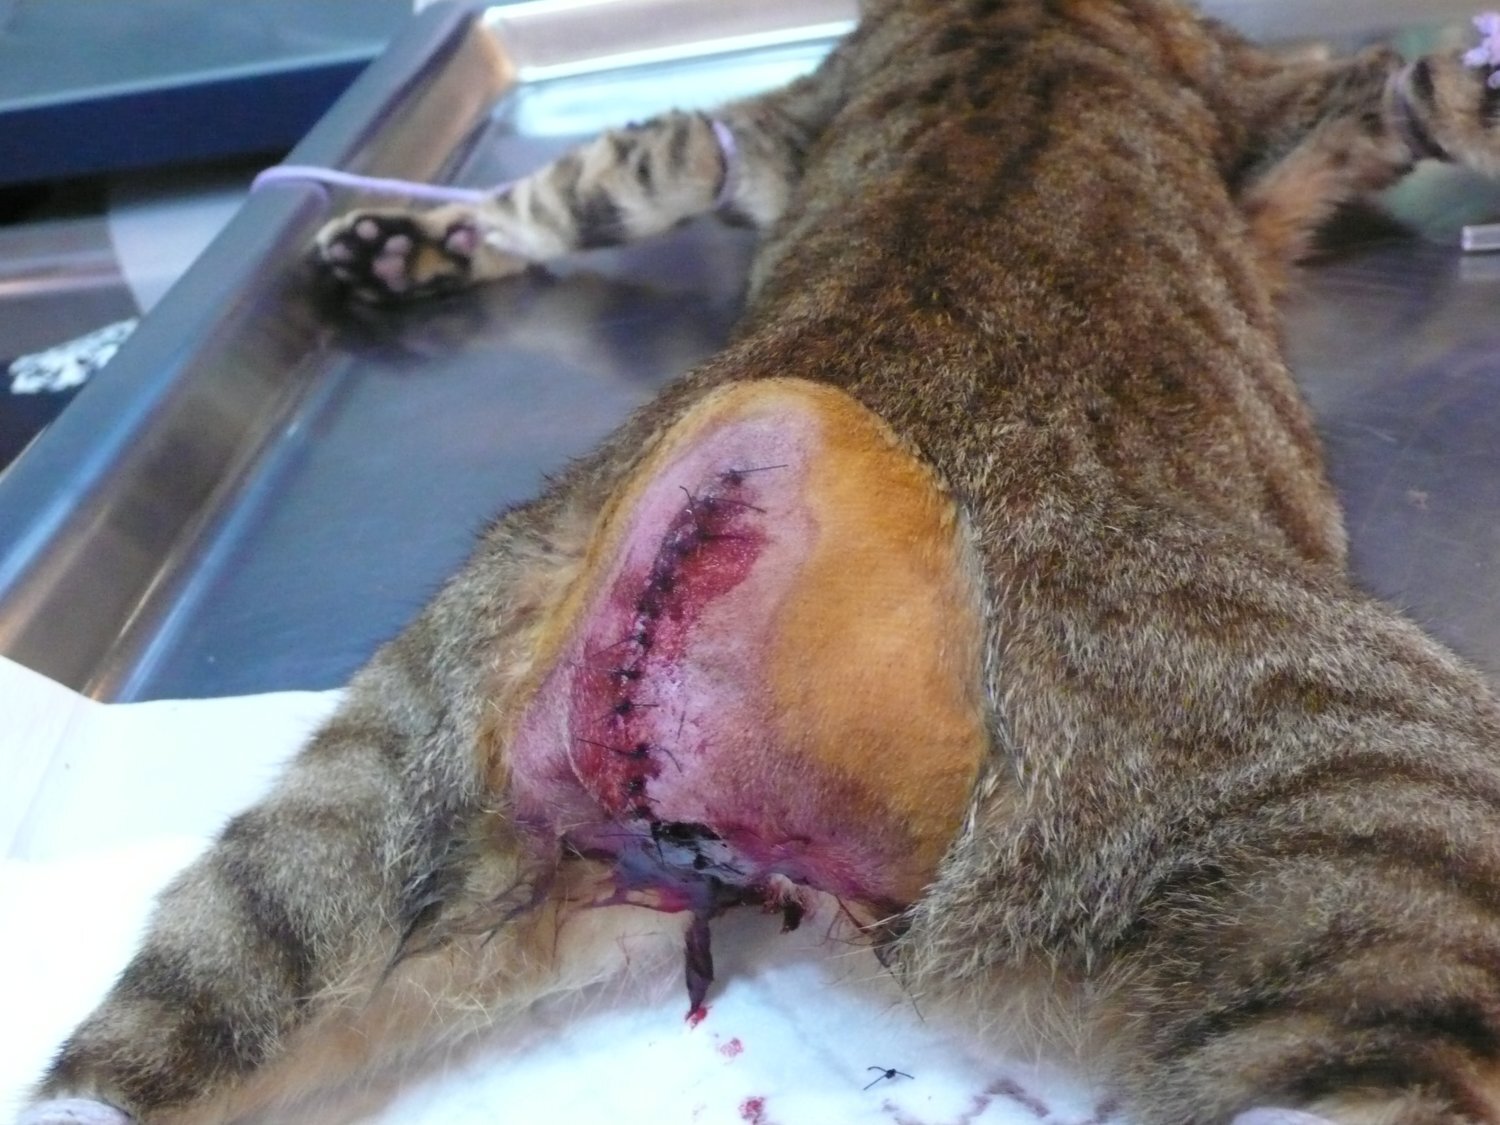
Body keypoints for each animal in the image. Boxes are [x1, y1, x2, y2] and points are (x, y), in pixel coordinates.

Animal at [23, 1, 1500, 1123]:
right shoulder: (1274, 91)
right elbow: (1422, 86)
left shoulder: (760, 134)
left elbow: (608, 176)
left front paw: (412, 242)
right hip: (1378, 834)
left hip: (358, 800)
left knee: (164, 1018)